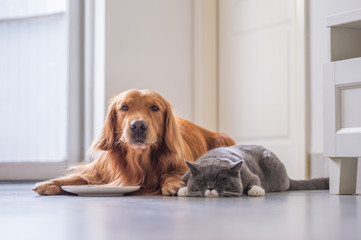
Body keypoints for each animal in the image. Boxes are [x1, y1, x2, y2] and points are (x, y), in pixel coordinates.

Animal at [32, 89, 235, 196]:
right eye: (124, 107)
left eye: (155, 108)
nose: (138, 126)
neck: (138, 160)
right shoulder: (99, 171)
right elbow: (79, 177)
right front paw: (50, 183)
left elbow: (169, 173)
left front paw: (172, 183)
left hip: (223, 138)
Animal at [177, 144, 330, 197]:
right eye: (202, 180)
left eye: (221, 179)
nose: (210, 187)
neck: (215, 157)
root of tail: (288, 177)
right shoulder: (185, 175)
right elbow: (183, 183)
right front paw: (183, 190)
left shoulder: (248, 174)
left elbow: (255, 181)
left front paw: (256, 191)